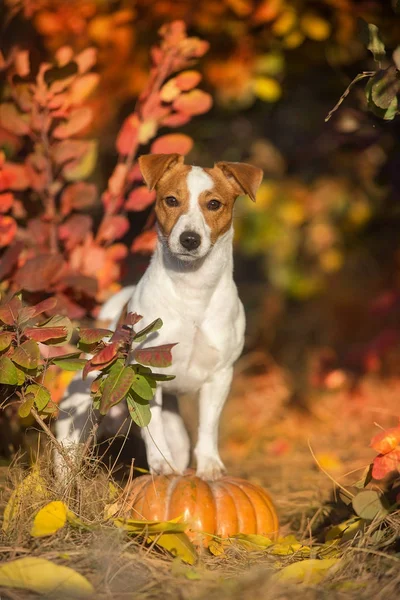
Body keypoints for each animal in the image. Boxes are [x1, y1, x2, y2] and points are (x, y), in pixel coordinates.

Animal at [56, 156, 262, 482]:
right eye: (171, 200)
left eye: (214, 204)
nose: (189, 239)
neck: (193, 291)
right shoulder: (147, 372)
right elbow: (152, 428)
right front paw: (161, 466)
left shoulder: (220, 376)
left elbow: (209, 425)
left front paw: (210, 466)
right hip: (73, 428)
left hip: (178, 434)